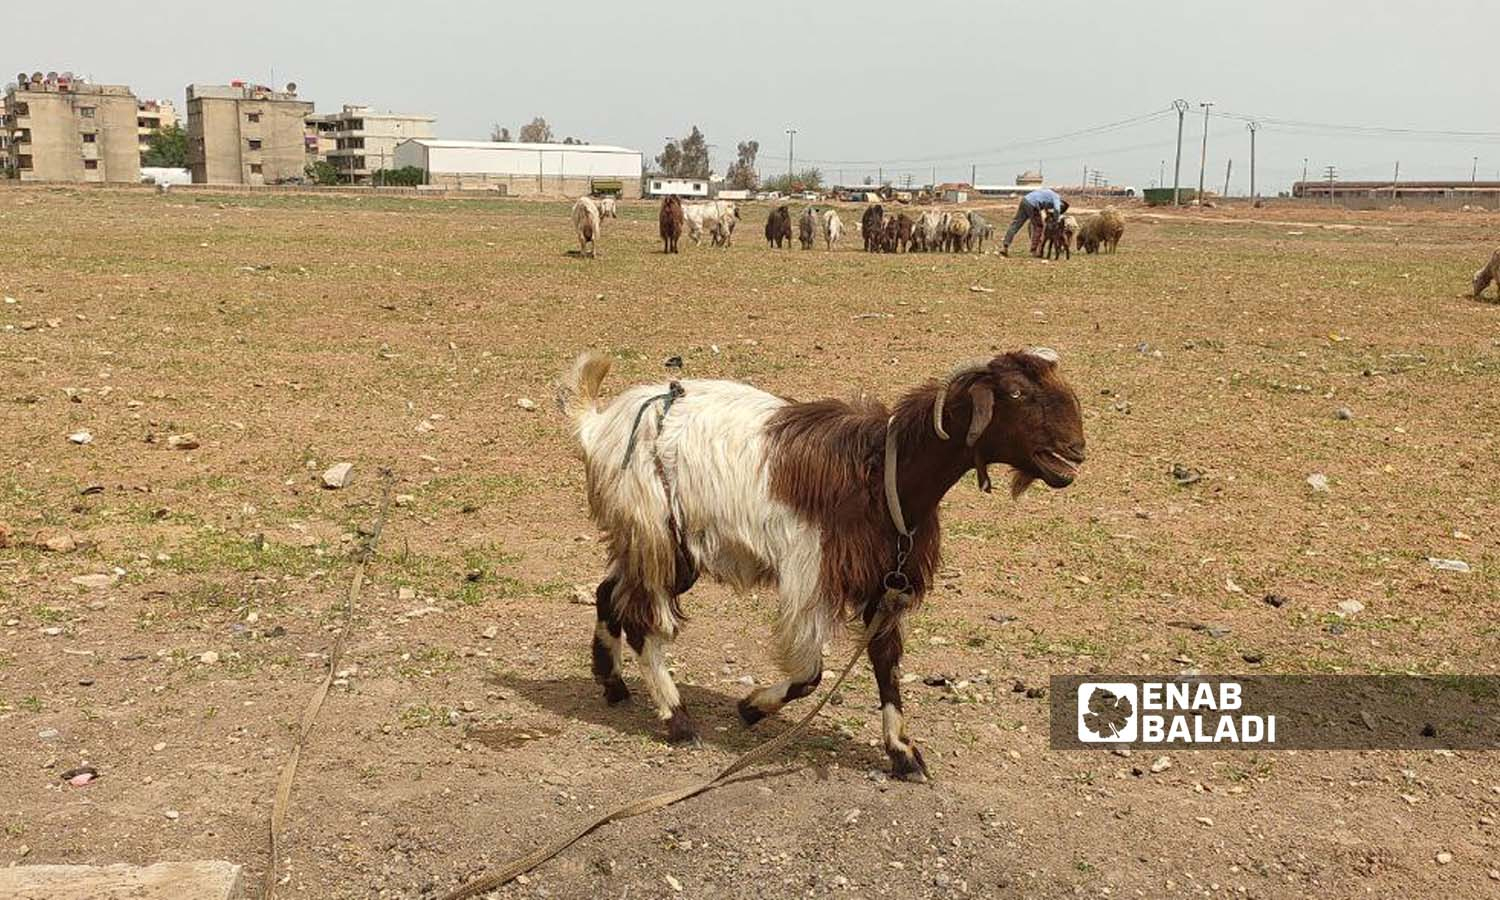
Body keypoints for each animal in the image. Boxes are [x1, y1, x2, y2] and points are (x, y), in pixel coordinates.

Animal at [558, 351, 1086, 780]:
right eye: (1016, 394)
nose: (1076, 451)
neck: (883, 474)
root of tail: (598, 425)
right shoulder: (811, 572)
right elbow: (810, 676)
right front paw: (752, 707)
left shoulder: (886, 580)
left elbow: (885, 663)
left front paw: (902, 753)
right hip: (659, 535)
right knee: (642, 620)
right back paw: (677, 720)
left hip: (655, 543)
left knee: (609, 594)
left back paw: (610, 680)